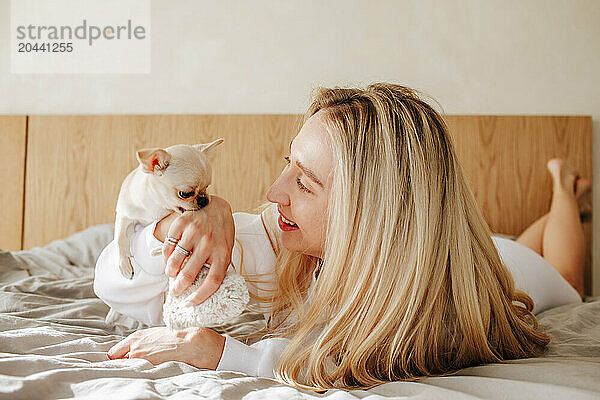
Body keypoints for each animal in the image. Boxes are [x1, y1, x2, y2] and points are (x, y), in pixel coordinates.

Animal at [105, 139, 248, 330]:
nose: (204, 200)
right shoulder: (124, 215)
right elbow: (120, 239)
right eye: (185, 194)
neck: (157, 207)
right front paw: (124, 266)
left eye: (207, 187)